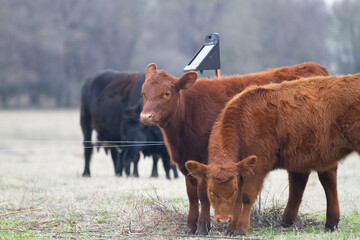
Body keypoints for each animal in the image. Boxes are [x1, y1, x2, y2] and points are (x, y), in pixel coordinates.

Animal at [186, 73, 360, 236]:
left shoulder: (258, 166)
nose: (222, 219)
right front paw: (231, 228)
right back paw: (330, 223)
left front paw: (241, 228)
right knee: (328, 181)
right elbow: (238, 200)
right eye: (210, 190)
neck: (244, 121)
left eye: (232, 190)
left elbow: (246, 196)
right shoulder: (241, 170)